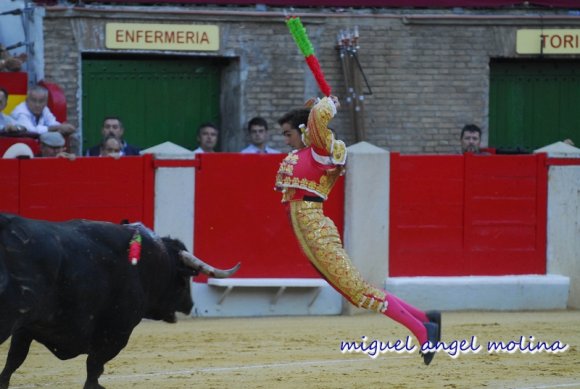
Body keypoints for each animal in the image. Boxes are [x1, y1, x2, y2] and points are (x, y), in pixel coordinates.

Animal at [0, 214, 240, 388]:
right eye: (183, 278)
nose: (190, 305)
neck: (147, 261)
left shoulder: (26, 328)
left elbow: (11, 363)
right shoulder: (116, 333)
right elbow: (93, 370)